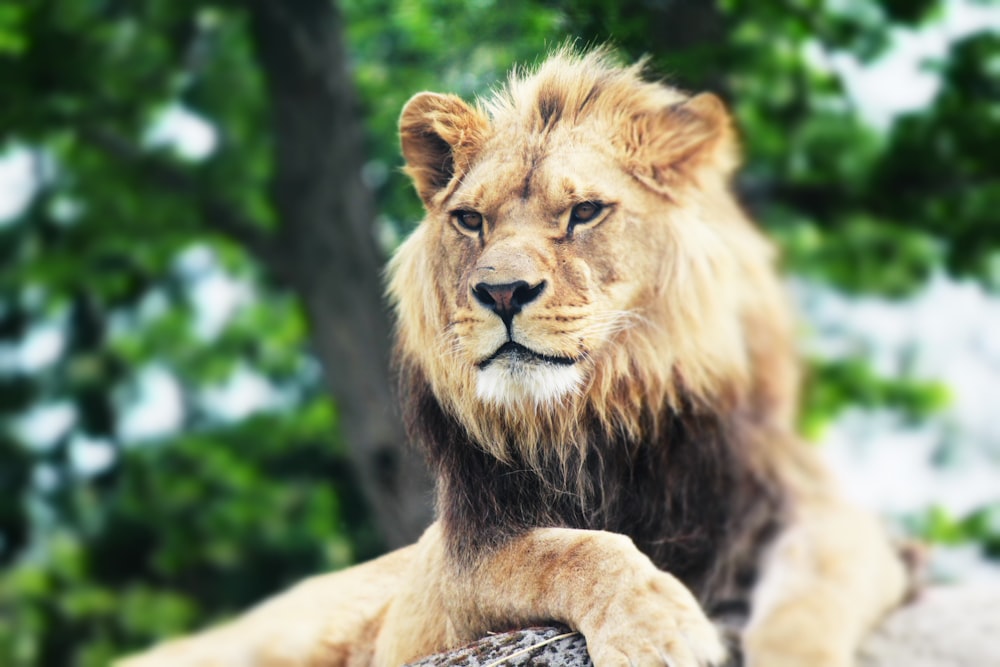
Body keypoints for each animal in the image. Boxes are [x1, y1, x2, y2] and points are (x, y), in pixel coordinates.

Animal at [121, 48, 912, 667]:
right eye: (471, 220)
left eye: (585, 212)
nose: (502, 291)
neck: (600, 417)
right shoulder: (465, 559)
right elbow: (580, 549)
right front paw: (657, 627)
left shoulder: (806, 507)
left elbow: (814, 592)